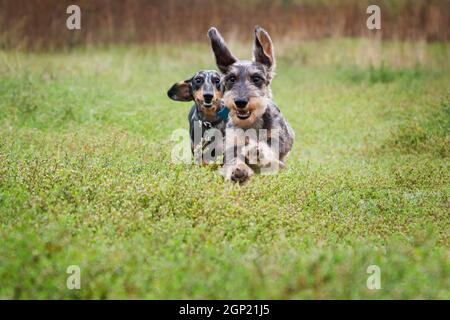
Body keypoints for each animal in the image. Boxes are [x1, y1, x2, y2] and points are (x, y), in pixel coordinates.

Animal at [207, 26, 296, 184]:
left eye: (256, 78)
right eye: (231, 79)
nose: (240, 102)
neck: (251, 123)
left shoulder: (276, 140)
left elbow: (269, 153)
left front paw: (256, 151)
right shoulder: (232, 144)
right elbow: (233, 160)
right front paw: (239, 171)